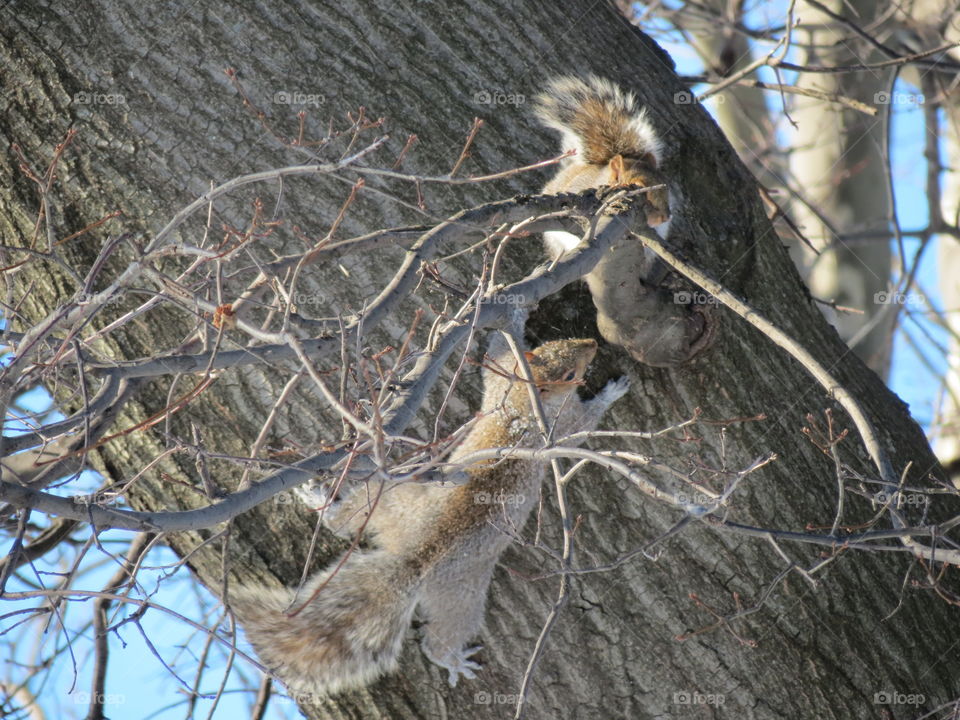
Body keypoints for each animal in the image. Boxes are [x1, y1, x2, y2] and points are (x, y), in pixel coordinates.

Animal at [230, 330, 629, 695]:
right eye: (566, 370)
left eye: (558, 345)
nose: (592, 344)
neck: (525, 400)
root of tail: (417, 558)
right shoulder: (561, 424)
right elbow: (583, 428)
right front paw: (612, 392)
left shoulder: (502, 386)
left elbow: (493, 365)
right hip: (461, 598)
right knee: (442, 637)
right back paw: (452, 660)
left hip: (390, 501)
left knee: (344, 524)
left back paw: (322, 503)